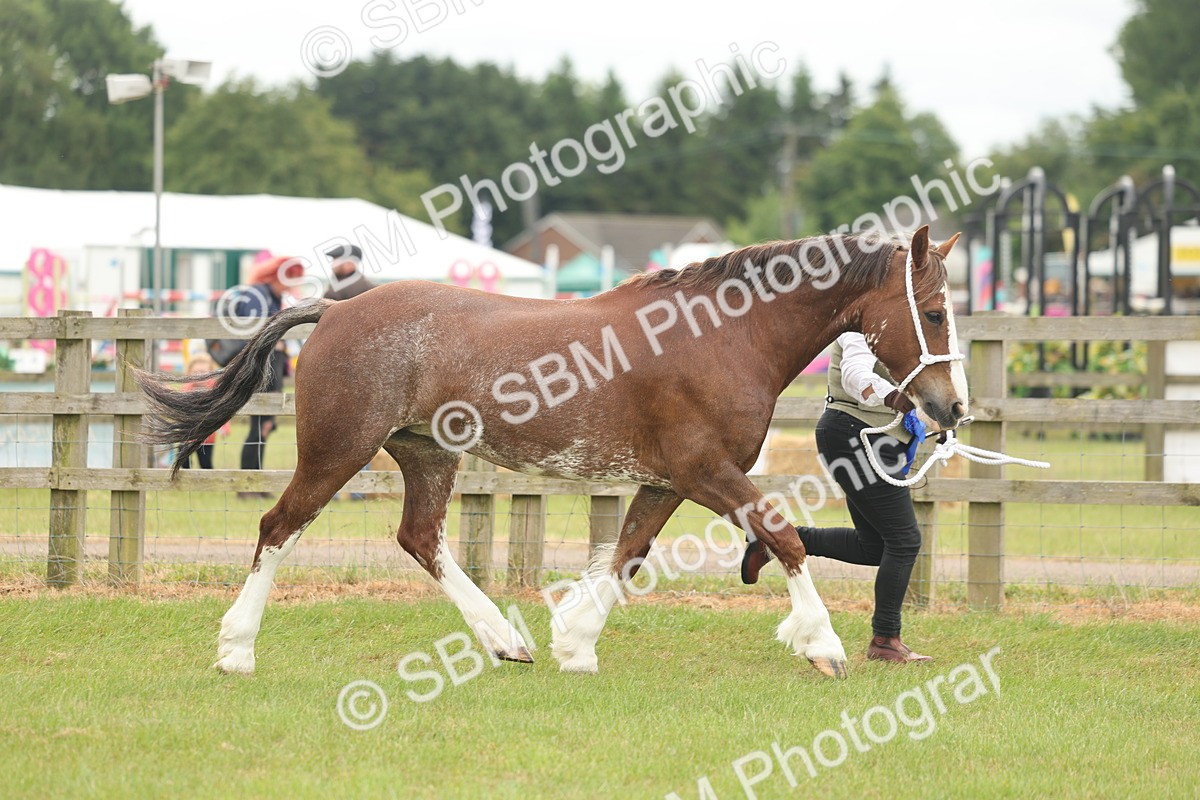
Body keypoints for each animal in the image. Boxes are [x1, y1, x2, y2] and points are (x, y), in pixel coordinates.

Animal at [137, 225, 967, 679]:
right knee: (279, 528)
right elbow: (785, 537)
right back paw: (236, 650)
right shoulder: (707, 472)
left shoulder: (668, 481)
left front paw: (574, 644)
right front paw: (821, 645)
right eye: (931, 312)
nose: (950, 408)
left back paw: (506, 641)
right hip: (337, 451)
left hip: (426, 455)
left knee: (421, 538)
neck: (721, 336)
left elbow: (626, 556)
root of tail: (335, 309)